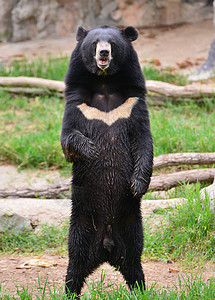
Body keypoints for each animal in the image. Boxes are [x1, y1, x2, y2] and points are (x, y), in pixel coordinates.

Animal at [61, 25, 154, 296]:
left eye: (111, 43)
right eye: (94, 43)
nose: (103, 53)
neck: (104, 83)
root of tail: (106, 248)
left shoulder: (133, 103)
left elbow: (144, 141)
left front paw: (137, 185)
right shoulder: (77, 104)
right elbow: (67, 138)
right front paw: (92, 150)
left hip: (132, 224)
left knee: (134, 259)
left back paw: (140, 289)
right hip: (82, 221)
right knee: (76, 259)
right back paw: (69, 291)